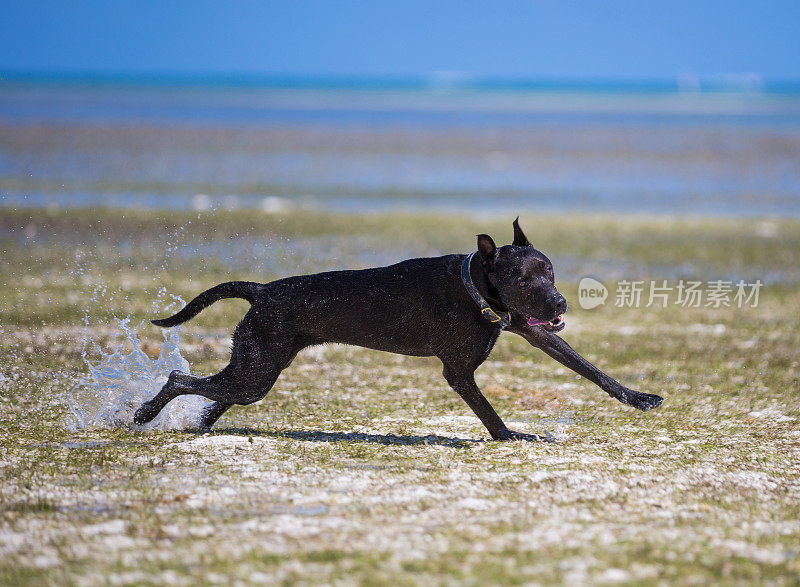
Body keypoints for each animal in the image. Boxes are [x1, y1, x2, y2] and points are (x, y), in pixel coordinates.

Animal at [136, 220, 664, 440]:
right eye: (521, 280)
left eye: (549, 271)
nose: (558, 303)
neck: (474, 285)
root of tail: (263, 290)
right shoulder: (459, 372)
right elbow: (488, 411)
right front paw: (509, 436)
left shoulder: (532, 330)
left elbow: (588, 368)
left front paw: (637, 398)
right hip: (256, 372)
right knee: (180, 379)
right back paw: (144, 414)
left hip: (255, 368)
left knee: (214, 392)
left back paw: (199, 424)